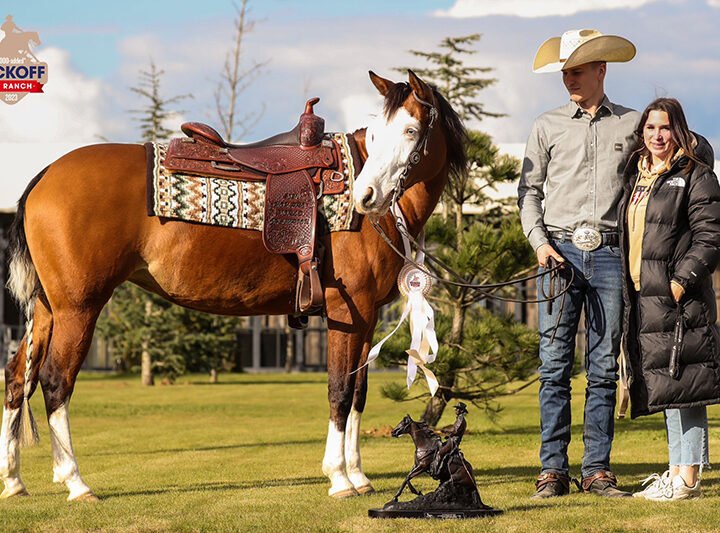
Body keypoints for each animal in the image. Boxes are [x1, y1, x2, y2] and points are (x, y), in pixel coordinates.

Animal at [0, 69, 470, 498]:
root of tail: (45, 174)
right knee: (55, 380)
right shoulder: (346, 313)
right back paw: (75, 482)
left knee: (17, 374)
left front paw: (358, 476)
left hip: (48, 308)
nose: (366, 196)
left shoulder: (367, 318)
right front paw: (339, 478)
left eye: (410, 131)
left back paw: (14, 481)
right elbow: (339, 390)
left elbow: (357, 393)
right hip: (78, 308)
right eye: (376, 132)